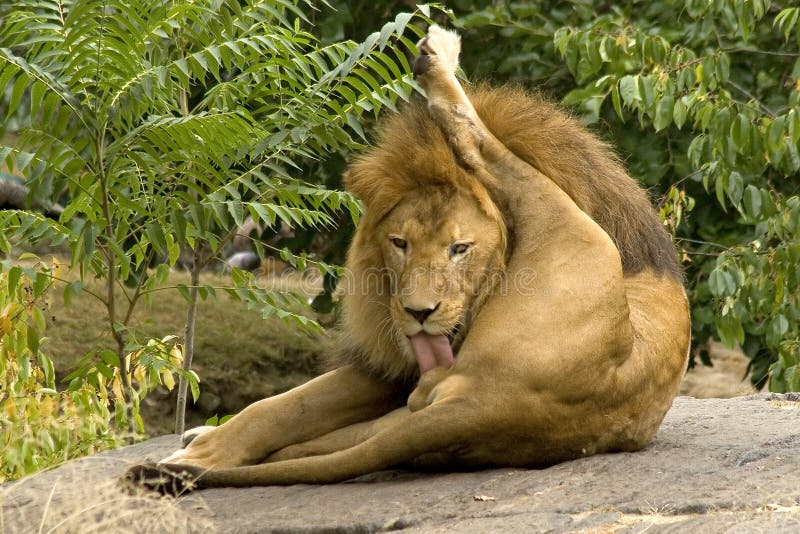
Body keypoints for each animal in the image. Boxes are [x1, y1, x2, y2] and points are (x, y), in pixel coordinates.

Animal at [126, 26, 690, 493]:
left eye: (460, 249)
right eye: (399, 244)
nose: (418, 314)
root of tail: (488, 403)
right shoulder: (390, 370)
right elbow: (286, 404)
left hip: (572, 228)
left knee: (473, 137)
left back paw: (437, 56)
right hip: (420, 403)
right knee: (323, 442)